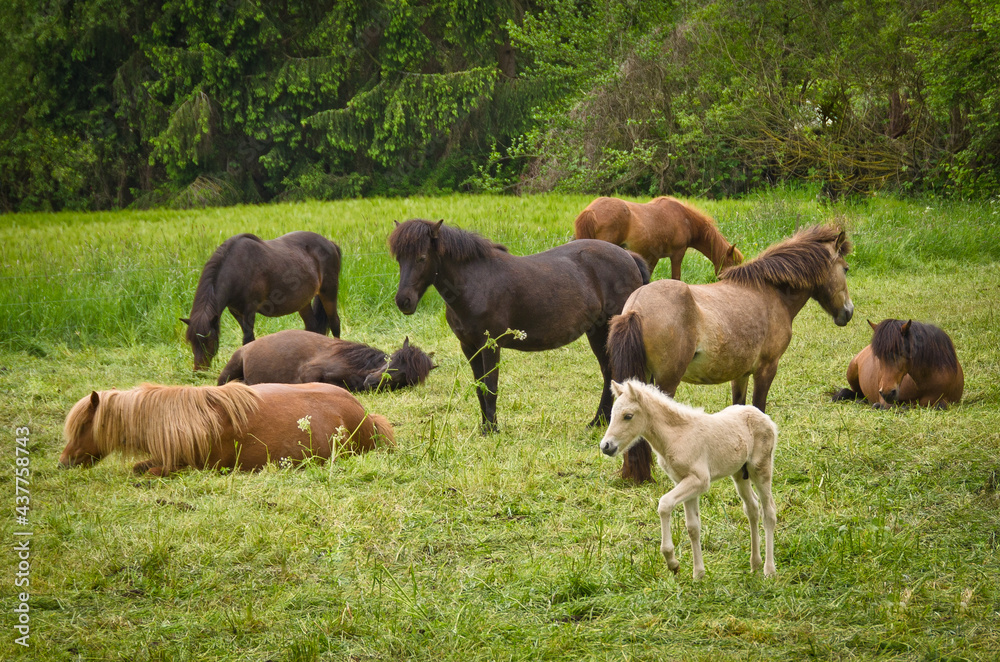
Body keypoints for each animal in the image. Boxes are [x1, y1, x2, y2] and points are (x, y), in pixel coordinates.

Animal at [183, 231, 342, 370]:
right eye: (191, 341)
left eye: (209, 341)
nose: (199, 371)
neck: (237, 268)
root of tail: (330, 243)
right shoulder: (236, 312)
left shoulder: (249, 311)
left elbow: (248, 339)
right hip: (303, 302)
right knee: (312, 327)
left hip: (328, 292)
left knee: (335, 323)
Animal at [389, 218, 650, 433]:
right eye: (399, 259)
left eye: (422, 258)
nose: (403, 301)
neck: (475, 283)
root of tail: (629, 257)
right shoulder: (469, 347)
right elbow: (479, 387)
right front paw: (484, 425)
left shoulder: (490, 345)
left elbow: (490, 386)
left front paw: (492, 429)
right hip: (596, 332)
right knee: (608, 372)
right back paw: (598, 422)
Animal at [573, 196, 743, 279]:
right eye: (733, 263)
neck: (685, 218)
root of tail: (590, 211)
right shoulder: (677, 254)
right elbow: (676, 278)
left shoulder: (652, 257)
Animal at [599, 379, 778, 579]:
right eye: (612, 414)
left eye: (628, 416)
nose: (606, 446)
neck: (677, 436)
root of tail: (765, 417)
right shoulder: (683, 481)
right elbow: (693, 527)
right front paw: (698, 573)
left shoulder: (700, 480)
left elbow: (664, 504)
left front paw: (672, 562)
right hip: (740, 473)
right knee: (752, 508)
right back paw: (755, 564)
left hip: (761, 469)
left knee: (768, 511)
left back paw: (769, 570)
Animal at [608, 224, 853, 483]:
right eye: (845, 269)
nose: (848, 312)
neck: (770, 293)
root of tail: (636, 307)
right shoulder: (767, 369)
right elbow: (758, 408)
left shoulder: (741, 374)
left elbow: (740, 408)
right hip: (666, 381)